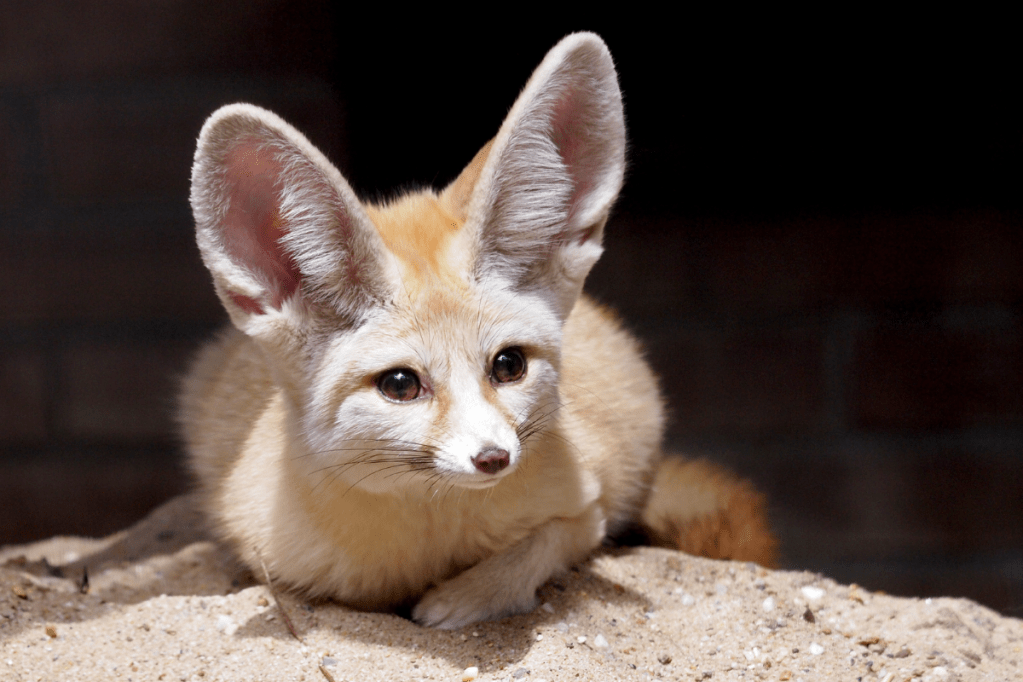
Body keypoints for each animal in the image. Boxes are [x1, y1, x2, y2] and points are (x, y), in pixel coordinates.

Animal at [179, 32, 776, 629]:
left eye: (509, 365)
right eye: (400, 385)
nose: (494, 458)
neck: (432, 538)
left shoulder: (589, 507)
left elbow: (538, 547)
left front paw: (461, 599)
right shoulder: (271, 554)